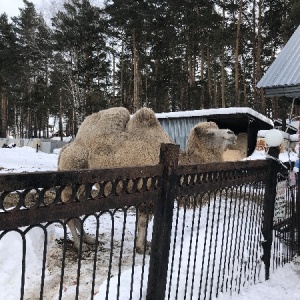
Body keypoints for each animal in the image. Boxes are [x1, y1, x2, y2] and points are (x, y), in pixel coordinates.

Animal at [58, 107, 237, 253]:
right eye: (210, 133)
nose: (232, 133)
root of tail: (66, 147)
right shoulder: (148, 194)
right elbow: (143, 222)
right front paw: (141, 248)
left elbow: (144, 221)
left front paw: (145, 244)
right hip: (73, 172)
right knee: (68, 208)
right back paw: (79, 245)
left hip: (86, 184)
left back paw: (89, 239)